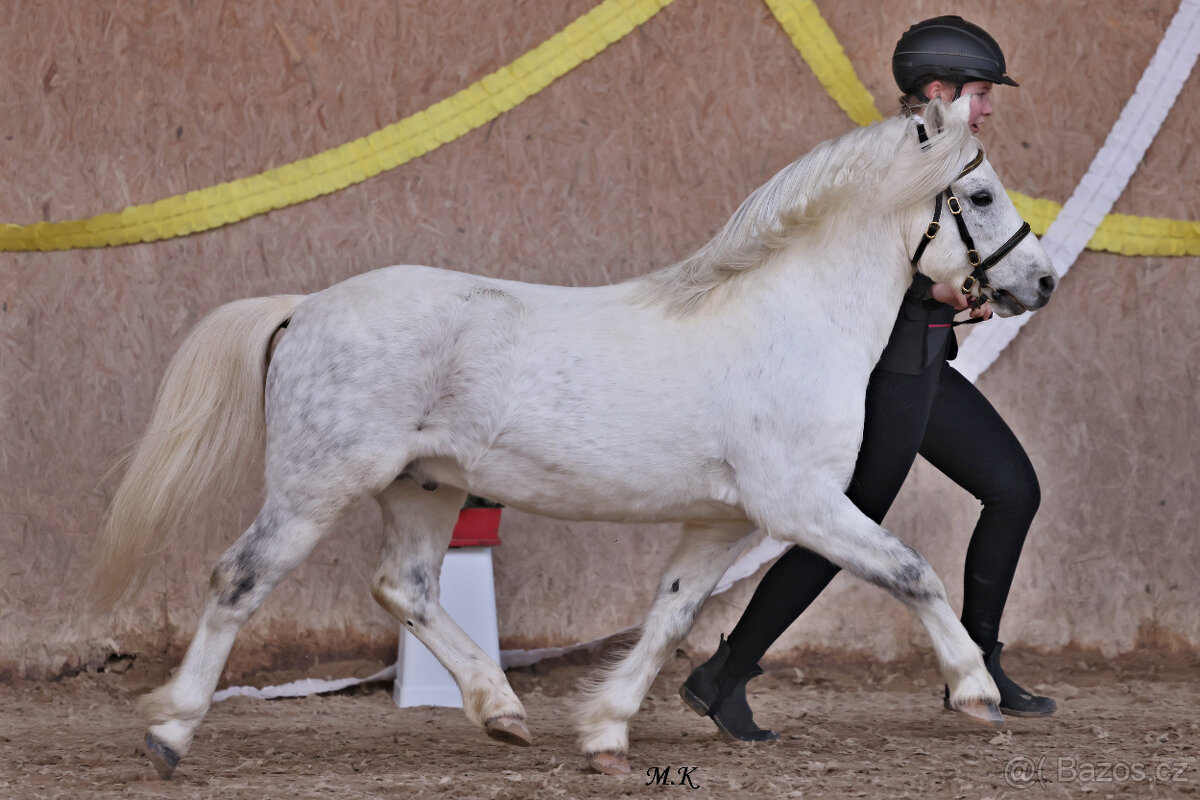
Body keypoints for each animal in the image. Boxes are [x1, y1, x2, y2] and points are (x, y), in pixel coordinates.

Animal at [91, 97, 1057, 778]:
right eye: (978, 193)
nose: (1041, 280)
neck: (793, 321)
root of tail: (304, 307)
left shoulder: (724, 521)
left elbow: (670, 616)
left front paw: (604, 733)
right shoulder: (802, 504)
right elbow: (911, 570)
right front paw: (975, 691)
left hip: (425, 488)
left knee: (404, 588)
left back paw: (501, 711)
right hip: (314, 484)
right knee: (239, 579)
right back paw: (169, 732)